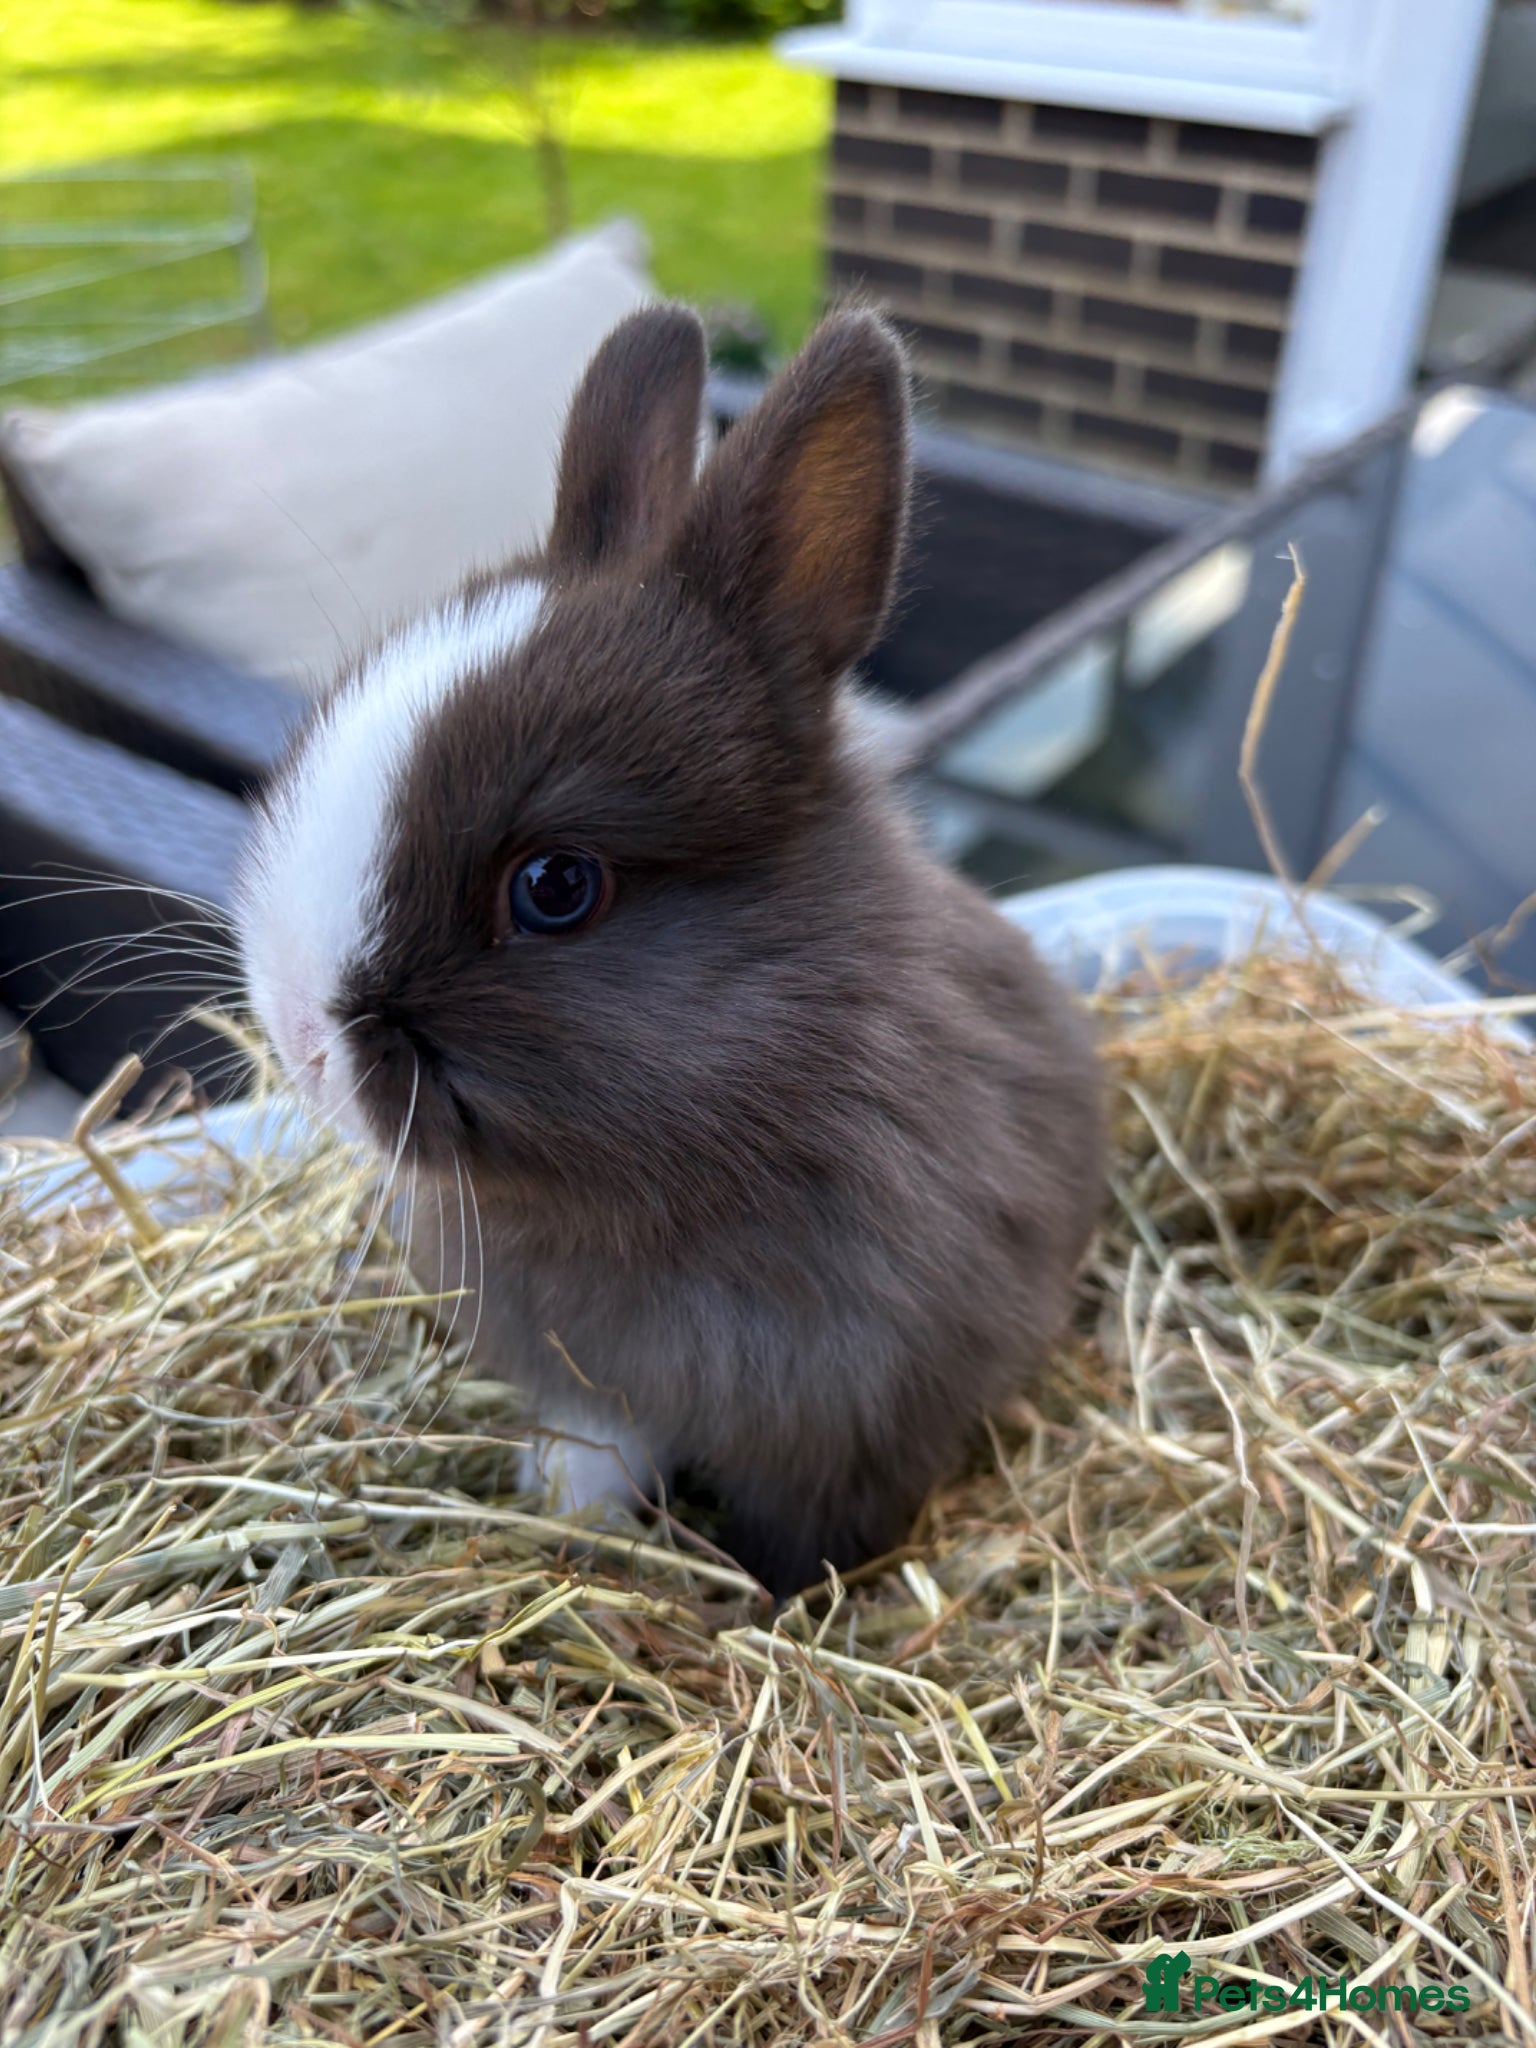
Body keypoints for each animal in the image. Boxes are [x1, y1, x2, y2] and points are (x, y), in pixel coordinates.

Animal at [236, 302, 1105, 1599]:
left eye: (555, 887)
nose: (296, 1037)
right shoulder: (589, 1383)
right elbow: (593, 1451)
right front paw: (568, 1514)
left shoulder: (852, 1423)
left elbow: (807, 1536)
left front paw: (781, 1603)